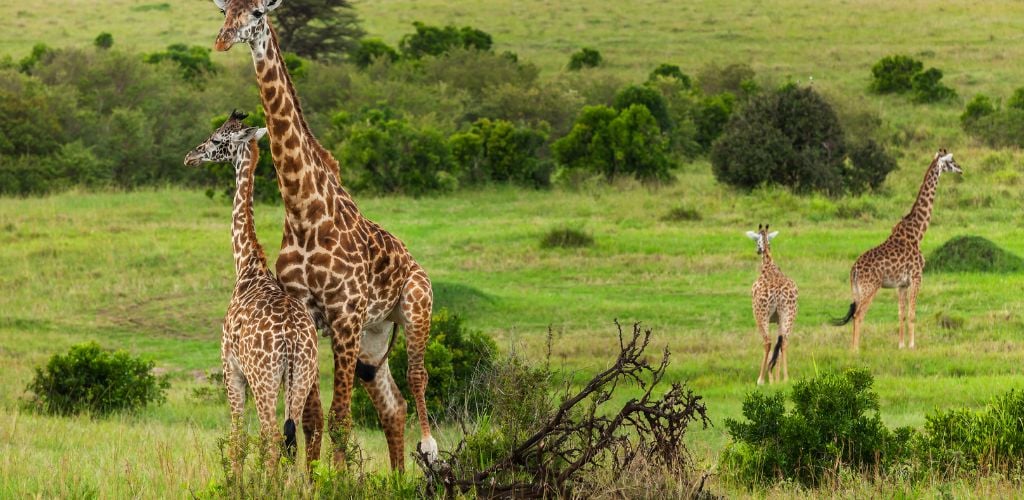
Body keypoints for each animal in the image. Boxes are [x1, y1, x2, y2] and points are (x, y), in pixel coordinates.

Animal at [184, 112, 323, 473]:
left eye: (217, 140)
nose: (191, 156)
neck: (247, 265)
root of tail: (291, 339)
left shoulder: (230, 368)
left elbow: (236, 438)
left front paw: (235, 480)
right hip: (301, 376)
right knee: (294, 437)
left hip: (264, 378)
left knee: (272, 437)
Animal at [207, 0, 436, 469]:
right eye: (226, 11)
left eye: (257, 13)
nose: (222, 41)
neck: (304, 211)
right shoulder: (312, 316)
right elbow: (312, 421)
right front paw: (315, 477)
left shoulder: (344, 317)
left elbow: (340, 421)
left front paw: (338, 479)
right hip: (374, 338)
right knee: (392, 404)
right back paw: (400, 477)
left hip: (414, 308)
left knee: (418, 375)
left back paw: (429, 450)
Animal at [745, 224, 798, 385]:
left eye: (756, 241)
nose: (757, 250)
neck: (768, 265)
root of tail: (778, 294)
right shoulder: (777, 319)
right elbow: (778, 346)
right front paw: (776, 379)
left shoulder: (764, 317)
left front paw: (770, 379)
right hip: (789, 314)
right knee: (784, 342)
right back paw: (786, 379)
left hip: (760, 315)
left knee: (767, 342)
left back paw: (760, 379)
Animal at [827, 148, 962, 352]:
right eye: (951, 161)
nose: (961, 169)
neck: (917, 233)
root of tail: (854, 270)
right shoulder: (916, 277)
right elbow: (913, 313)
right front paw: (912, 346)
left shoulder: (901, 284)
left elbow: (901, 314)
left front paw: (901, 345)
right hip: (870, 288)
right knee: (859, 315)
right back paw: (856, 350)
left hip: (857, 290)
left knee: (854, 314)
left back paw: (852, 347)